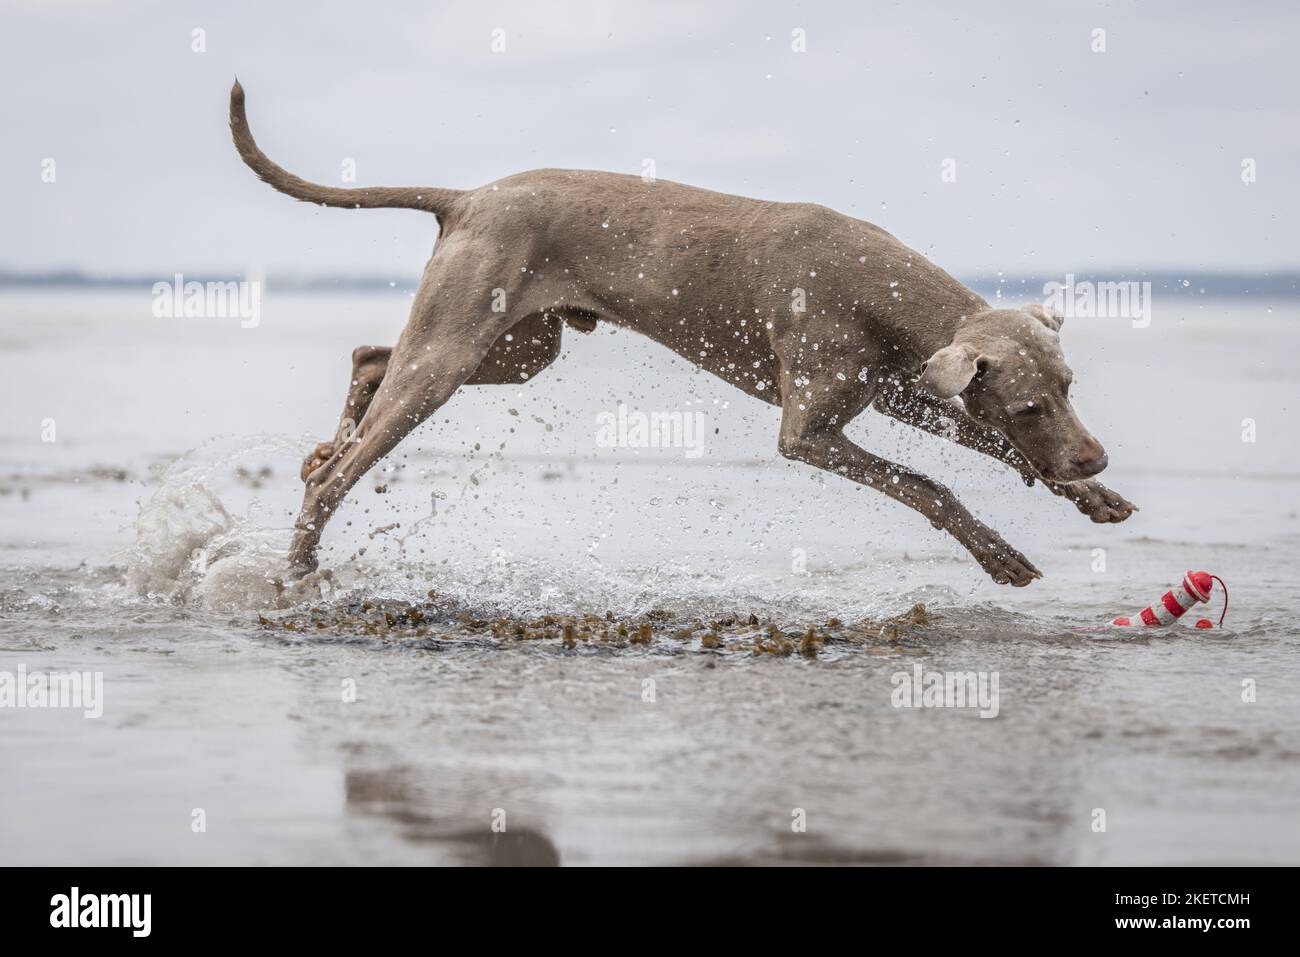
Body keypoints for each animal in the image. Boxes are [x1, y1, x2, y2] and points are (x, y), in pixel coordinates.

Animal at [228, 82, 1133, 587]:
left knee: (369, 357)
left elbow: (989, 449)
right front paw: (1001, 555)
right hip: (456, 347)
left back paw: (324, 444)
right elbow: (928, 485)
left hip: (520, 346)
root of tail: (468, 196)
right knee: (342, 468)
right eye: (1029, 403)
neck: (889, 295)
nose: (1095, 457)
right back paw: (301, 565)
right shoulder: (809, 432)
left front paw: (1090, 497)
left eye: (1068, 390)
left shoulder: (905, 393)